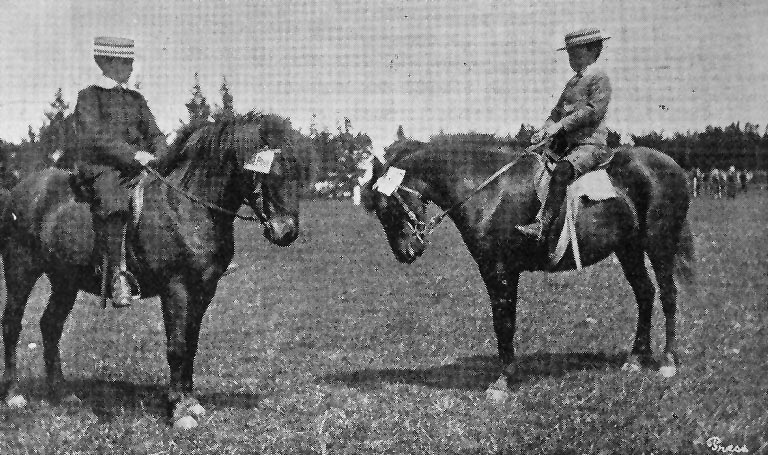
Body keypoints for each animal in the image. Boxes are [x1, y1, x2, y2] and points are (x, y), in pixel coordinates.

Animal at [0, 112, 300, 430]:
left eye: (296, 171)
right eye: (267, 173)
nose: (286, 232)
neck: (186, 207)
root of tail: (20, 191)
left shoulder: (204, 288)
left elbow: (191, 343)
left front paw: (191, 402)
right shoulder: (176, 287)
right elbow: (176, 346)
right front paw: (179, 411)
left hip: (64, 281)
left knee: (50, 326)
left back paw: (62, 393)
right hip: (21, 271)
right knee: (12, 324)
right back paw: (14, 395)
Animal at [364, 136, 692, 402]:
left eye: (386, 206)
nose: (406, 253)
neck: (488, 189)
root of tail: (672, 166)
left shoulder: (500, 270)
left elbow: (504, 321)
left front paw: (502, 381)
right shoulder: (497, 270)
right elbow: (504, 319)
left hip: (660, 244)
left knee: (668, 295)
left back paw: (668, 362)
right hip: (629, 248)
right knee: (645, 293)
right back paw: (636, 358)